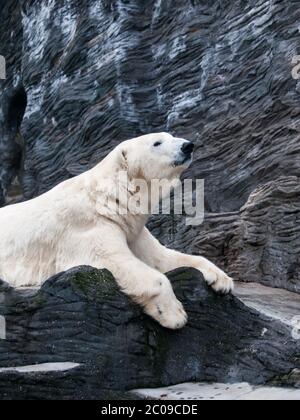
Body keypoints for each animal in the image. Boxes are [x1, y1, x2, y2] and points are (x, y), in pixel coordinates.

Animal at [0, 133, 233, 330]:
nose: (188, 146)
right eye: (157, 142)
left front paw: (221, 280)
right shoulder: (87, 224)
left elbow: (160, 257)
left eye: (171, 135)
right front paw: (174, 314)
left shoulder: (131, 228)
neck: (108, 199)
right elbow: (110, 259)